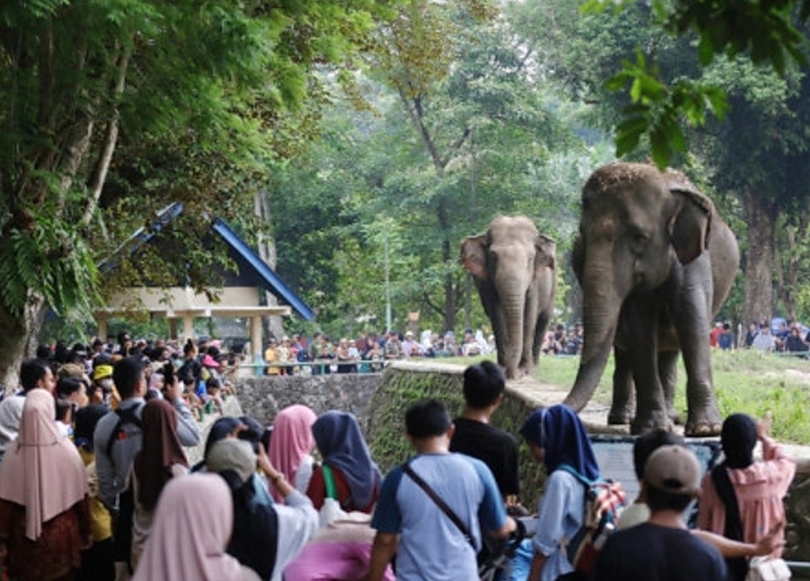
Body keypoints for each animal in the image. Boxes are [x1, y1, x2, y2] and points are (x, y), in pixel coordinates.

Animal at [460, 215, 556, 378]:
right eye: (493, 256)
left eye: (530, 258)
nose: (514, 374)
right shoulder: (487, 283)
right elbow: (496, 315)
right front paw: (502, 368)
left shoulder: (535, 282)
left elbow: (529, 316)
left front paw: (526, 370)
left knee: (543, 318)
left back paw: (535, 365)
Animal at [560, 163, 740, 436]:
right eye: (582, 236)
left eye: (640, 237)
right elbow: (641, 330)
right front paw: (650, 428)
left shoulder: (695, 260)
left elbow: (693, 323)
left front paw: (707, 429)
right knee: (626, 353)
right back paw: (623, 419)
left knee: (669, 351)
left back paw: (671, 418)